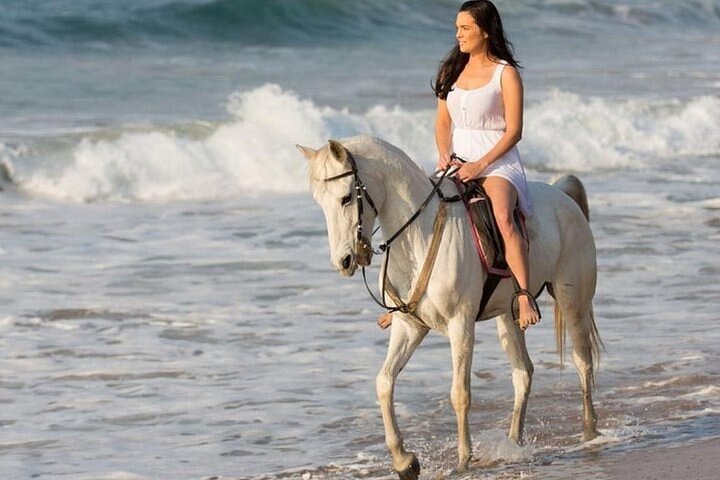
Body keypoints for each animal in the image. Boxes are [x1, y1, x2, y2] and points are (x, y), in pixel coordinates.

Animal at [297, 135, 602, 479]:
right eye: (320, 202)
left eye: (346, 197)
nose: (344, 261)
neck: (419, 235)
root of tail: (562, 195)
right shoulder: (409, 327)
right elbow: (384, 382)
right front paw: (405, 461)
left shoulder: (461, 325)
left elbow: (460, 394)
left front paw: (462, 460)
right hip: (508, 318)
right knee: (523, 372)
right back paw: (513, 443)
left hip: (572, 302)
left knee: (582, 362)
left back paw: (589, 434)